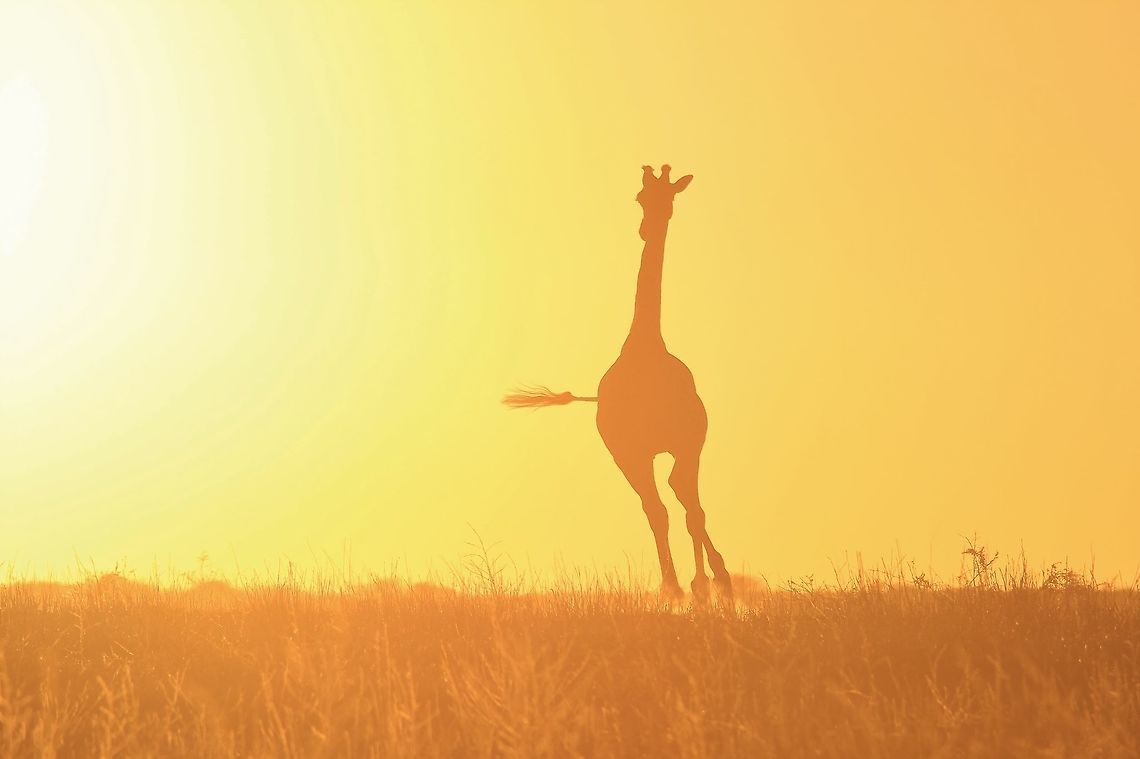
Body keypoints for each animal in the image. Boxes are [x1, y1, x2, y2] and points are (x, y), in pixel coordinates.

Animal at [503, 164, 733, 603]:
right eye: (640, 197)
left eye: (669, 197)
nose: (647, 227)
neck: (646, 349)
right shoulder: (635, 451)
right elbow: (665, 510)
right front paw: (680, 585)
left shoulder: (688, 441)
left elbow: (691, 508)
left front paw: (711, 581)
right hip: (625, 456)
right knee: (657, 508)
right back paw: (678, 583)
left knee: (680, 499)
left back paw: (708, 579)